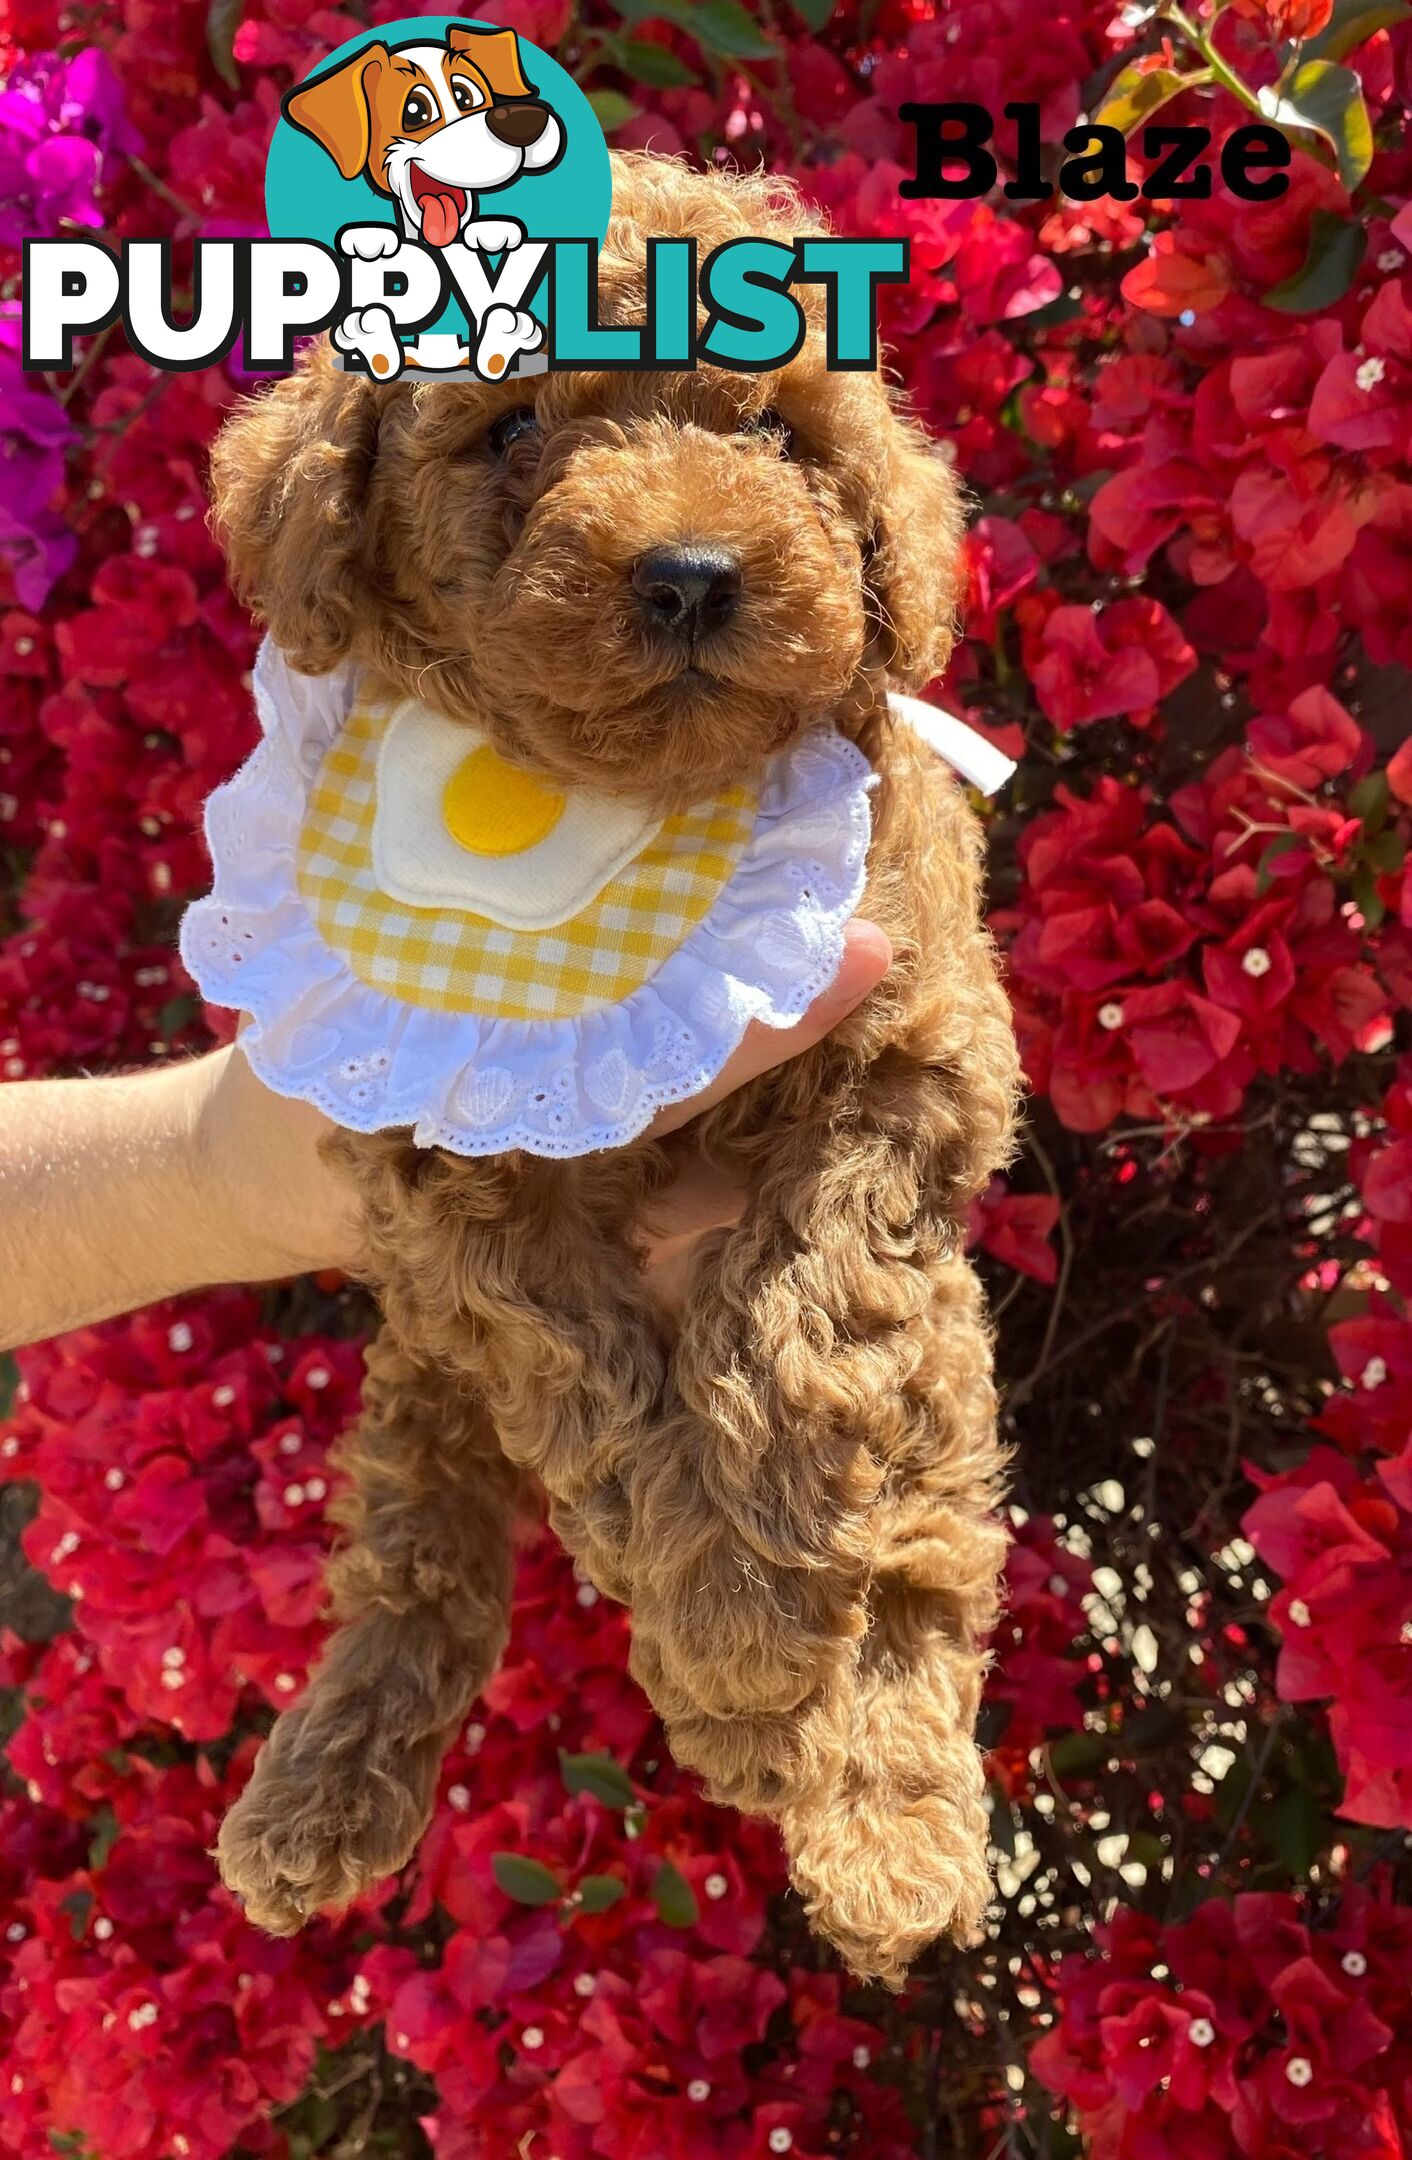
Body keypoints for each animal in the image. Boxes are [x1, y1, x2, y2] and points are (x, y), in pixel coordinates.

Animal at [210, 152, 1023, 1987]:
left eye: (781, 431)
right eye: (511, 428)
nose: (696, 570)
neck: (623, 800)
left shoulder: (913, 1063)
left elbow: (800, 1309)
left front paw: (750, 1621)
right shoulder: (447, 1175)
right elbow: (589, 1376)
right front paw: (729, 1632)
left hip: (946, 1375)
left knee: (922, 1563)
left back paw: (883, 1836)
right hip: (418, 1374)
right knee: (419, 1553)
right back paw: (319, 1792)